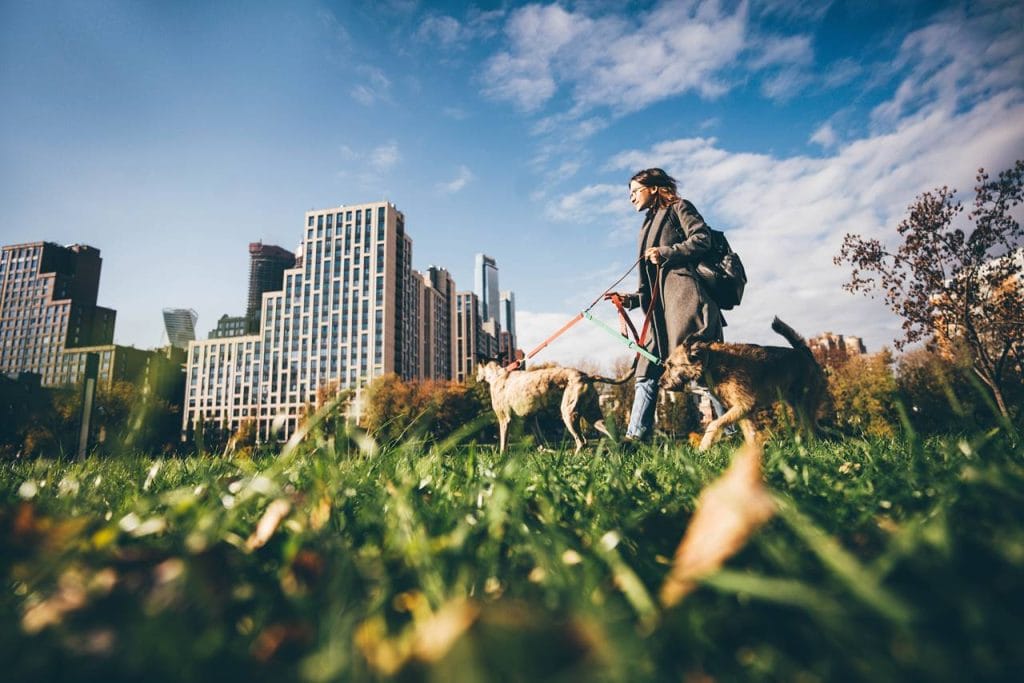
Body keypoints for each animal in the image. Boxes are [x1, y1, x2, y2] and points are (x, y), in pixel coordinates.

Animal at [477, 362, 630, 454]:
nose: (477, 378)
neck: (498, 375)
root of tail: (586, 376)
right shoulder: (532, 420)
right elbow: (541, 441)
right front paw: (545, 453)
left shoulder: (504, 420)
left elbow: (503, 444)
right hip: (593, 417)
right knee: (613, 436)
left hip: (569, 414)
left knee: (582, 442)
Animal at [659, 317, 827, 450]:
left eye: (671, 365)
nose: (660, 383)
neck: (710, 362)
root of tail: (804, 352)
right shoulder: (743, 411)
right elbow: (750, 433)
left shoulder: (744, 405)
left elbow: (714, 424)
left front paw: (704, 445)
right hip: (797, 405)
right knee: (815, 426)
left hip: (804, 403)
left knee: (813, 426)